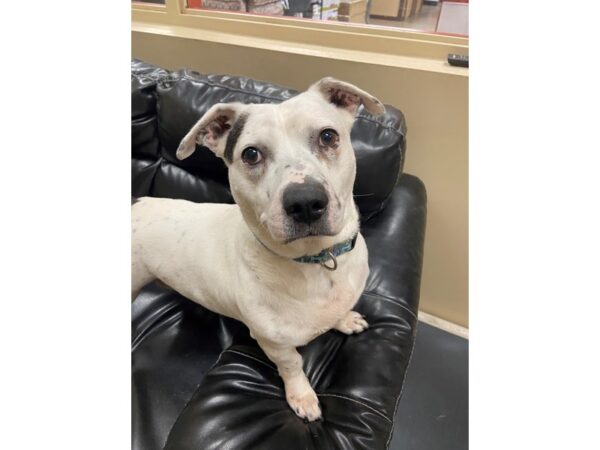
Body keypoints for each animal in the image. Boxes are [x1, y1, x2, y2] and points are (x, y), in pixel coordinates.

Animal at [131, 75, 384, 420]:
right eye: (251, 154)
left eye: (328, 136)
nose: (305, 202)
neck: (315, 259)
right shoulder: (273, 343)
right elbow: (292, 365)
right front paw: (302, 396)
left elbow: (339, 312)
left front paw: (344, 320)